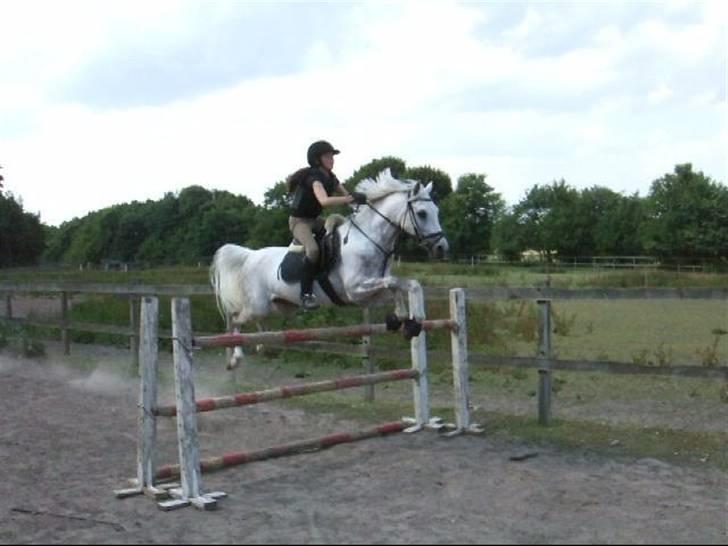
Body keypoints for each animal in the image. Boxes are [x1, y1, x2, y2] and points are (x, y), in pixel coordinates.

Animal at [210, 168, 450, 368]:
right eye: (422, 213)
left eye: (437, 210)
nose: (441, 248)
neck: (369, 239)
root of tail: (251, 256)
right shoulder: (355, 290)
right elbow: (396, 283)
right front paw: (414, 318)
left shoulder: (368, 295)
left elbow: (402, 285)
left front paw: (404, 320)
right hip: (257, 305)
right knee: (235, 319)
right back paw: (235, 358)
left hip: (280, 306)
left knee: (254, 320)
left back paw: (260, 343)